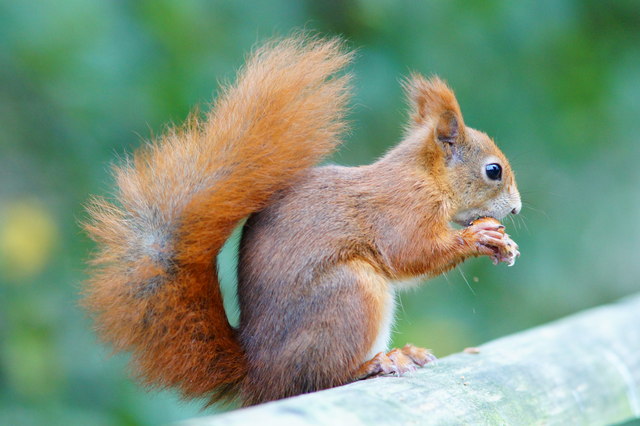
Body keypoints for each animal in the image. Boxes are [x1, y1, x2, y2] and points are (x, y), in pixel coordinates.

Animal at [82, 35, 520, 406]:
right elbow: (410, 254)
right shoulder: (401, 210)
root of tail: (258, 371)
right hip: (352, 292)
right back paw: (376, 363)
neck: (425, 177)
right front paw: (479, 238)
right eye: (493, 170)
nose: (516, 209)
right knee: (322, 378)